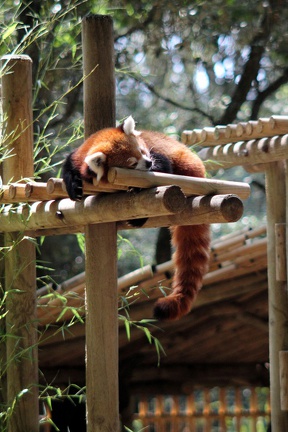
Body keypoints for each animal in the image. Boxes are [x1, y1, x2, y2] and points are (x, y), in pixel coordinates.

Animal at [62, 116, 209, 318]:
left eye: (142, 151)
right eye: (132, 163)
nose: (147, 163)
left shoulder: (157, 154)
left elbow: (162, 168)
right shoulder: (77, 156)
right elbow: (68, 167)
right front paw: (73, 185)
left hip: (186, 165)